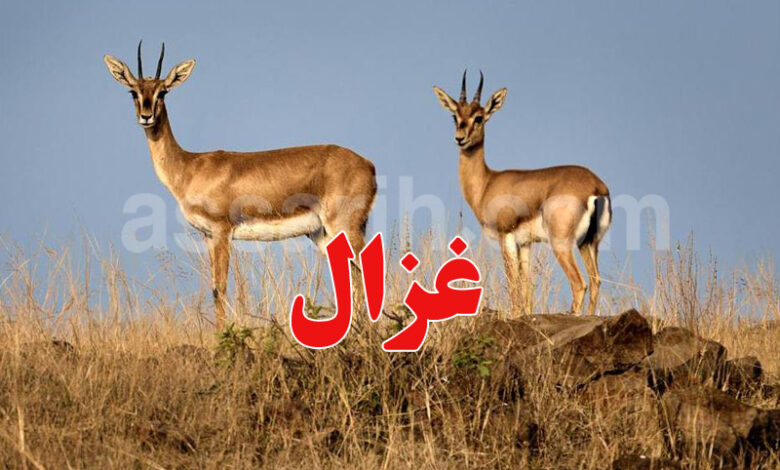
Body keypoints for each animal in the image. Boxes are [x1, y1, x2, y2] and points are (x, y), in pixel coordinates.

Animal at [104, 42, 377, 328]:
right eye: (133, 91)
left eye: (163, 92)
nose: (146, 116)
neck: (190, 167)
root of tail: (368, 164)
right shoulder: (208, 236)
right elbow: (214, 287)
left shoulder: (222, 231)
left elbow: (220, 288)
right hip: (322, 234)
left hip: (343, 226)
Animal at [433, 71, 611, 316]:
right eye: (455, 116)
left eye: (479, 117)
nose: (460, 138)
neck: (487, 183)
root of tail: (596, 186)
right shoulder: (525, 243)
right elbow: (526, 286)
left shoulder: (505, 237)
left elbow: (513, 283)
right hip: (589, 243)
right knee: (595, 282)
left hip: (562, 244)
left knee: (579, 283)